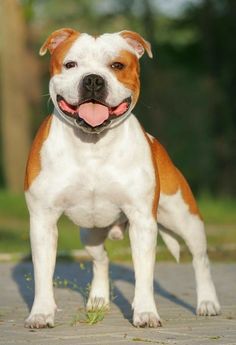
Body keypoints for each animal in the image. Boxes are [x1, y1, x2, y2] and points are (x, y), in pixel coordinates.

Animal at [24, 28, 221, 326]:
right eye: (70, 64)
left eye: (117, 65)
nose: (93, 80)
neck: (93, 145)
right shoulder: (42, 221)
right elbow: (42, 273)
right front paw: (41, 313)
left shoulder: (143, 221)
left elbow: (144, 274)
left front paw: (146, 312)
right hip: (90, 233)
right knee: (101, 259)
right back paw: (98, 299)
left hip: (185, 218)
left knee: (200, 260)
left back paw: (208, 302)